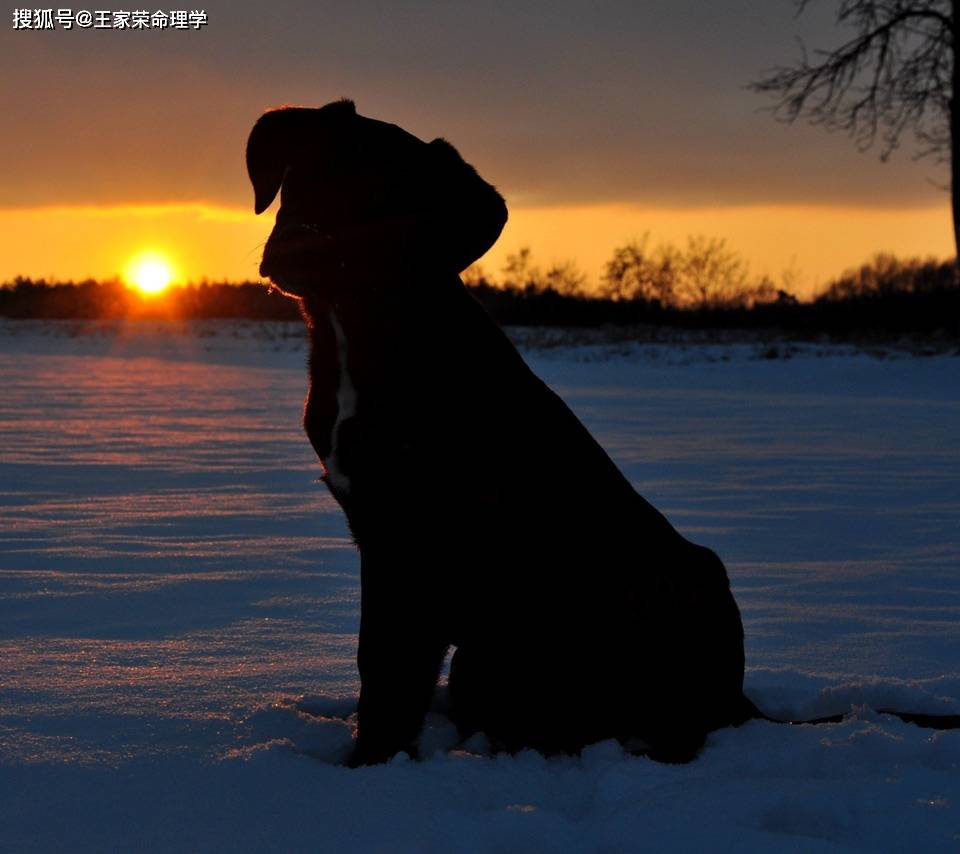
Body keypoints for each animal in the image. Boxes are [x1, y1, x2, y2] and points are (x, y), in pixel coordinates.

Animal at [249, 100, 756, 768]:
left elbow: (390, 671)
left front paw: (370, 766)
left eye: (385, 200)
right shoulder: (380, 537)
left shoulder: (415, 543)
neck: (356, 328)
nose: (298, 248)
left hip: (686, 586)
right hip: (484, 660)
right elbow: (378, 663)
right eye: (305, 170)